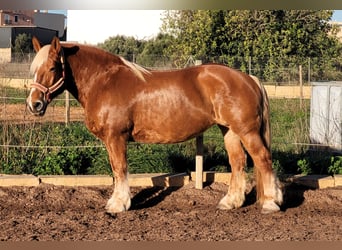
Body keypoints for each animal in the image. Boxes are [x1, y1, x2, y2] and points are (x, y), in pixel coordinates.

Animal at [26, 37, 284, 215]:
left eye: (52, 68)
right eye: (34, 69)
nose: (34, 104)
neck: (104, 82)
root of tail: (249, 79)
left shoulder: (116, 137)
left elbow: (120, 169)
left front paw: (118, 204)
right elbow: (116, 170)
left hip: (247, 131)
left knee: (262, 159)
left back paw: (271, 203)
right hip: (229, 130)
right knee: (238, 162)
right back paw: (230, 202)